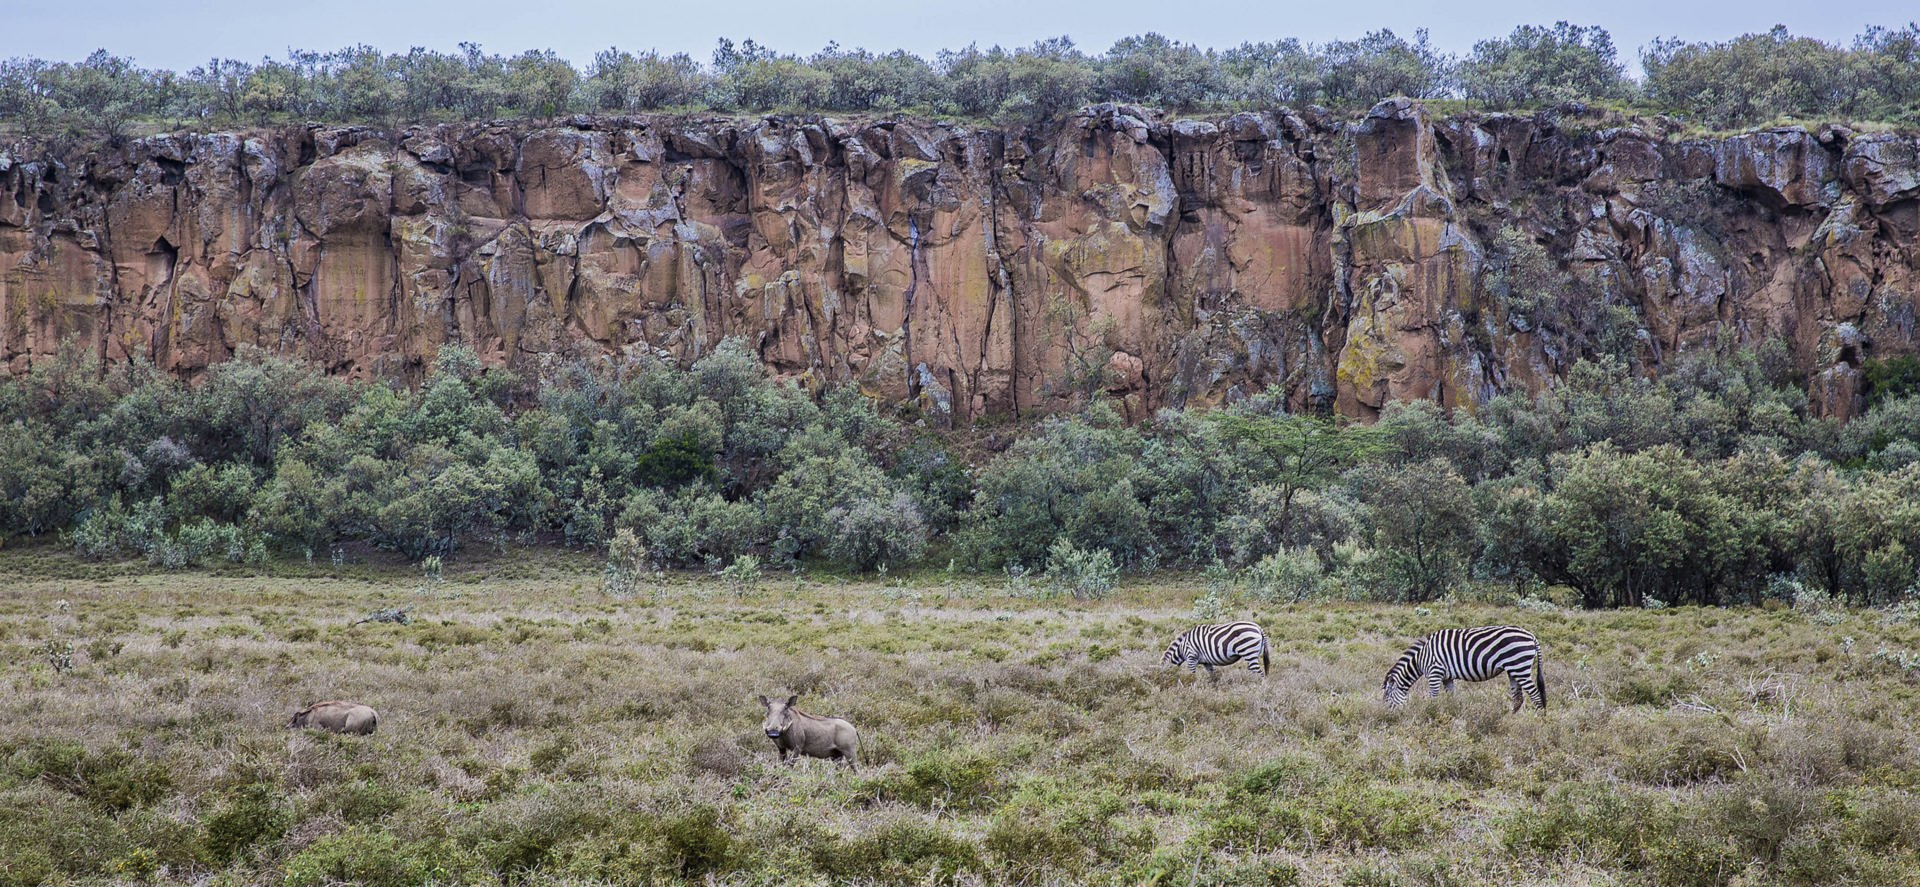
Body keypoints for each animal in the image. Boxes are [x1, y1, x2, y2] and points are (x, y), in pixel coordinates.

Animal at [1382, 625, 1546, 713]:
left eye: (1388, 699)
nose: (1389, 717)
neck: (1421, 657)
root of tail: (1532, 636)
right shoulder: (1447, 677)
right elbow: (1451, 698)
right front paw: (1450, 715)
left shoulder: (1435, 672)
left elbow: (1433, 698)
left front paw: (1430, 713)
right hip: (1513, 670)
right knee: (1518, 699)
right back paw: (1509, 719)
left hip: (1520, 667)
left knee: (1535, 695)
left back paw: (1539, 719)